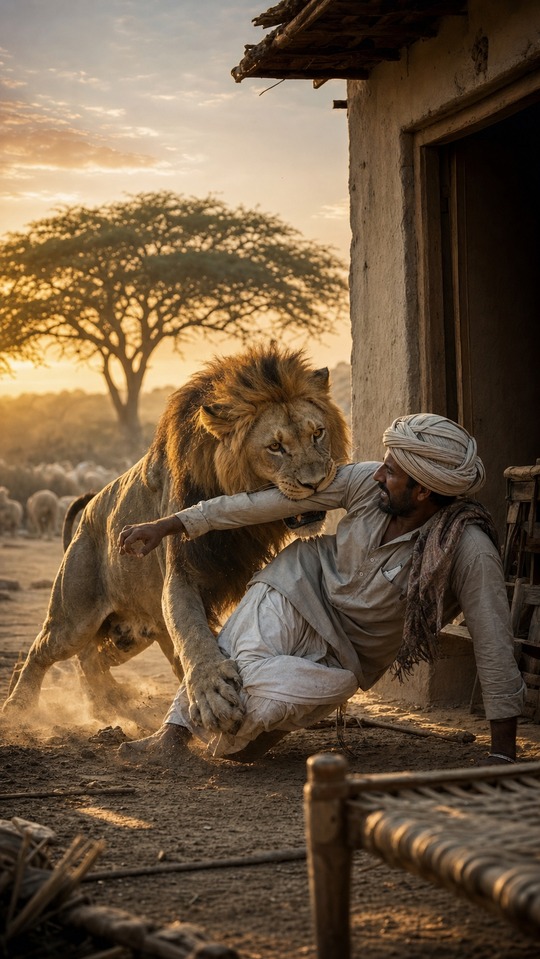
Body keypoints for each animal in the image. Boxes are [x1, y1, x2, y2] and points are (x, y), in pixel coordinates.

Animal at [3, 343, 350, 733]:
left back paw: (110, 703)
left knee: (92, 658)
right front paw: (211, 693)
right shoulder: (181, 573)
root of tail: (85, 519)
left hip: (131, 634)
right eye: (275, 447)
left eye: (318, 433)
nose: (315, 483)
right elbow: (192, 634)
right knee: (42, 651)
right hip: (74, 618)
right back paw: (19, 708)